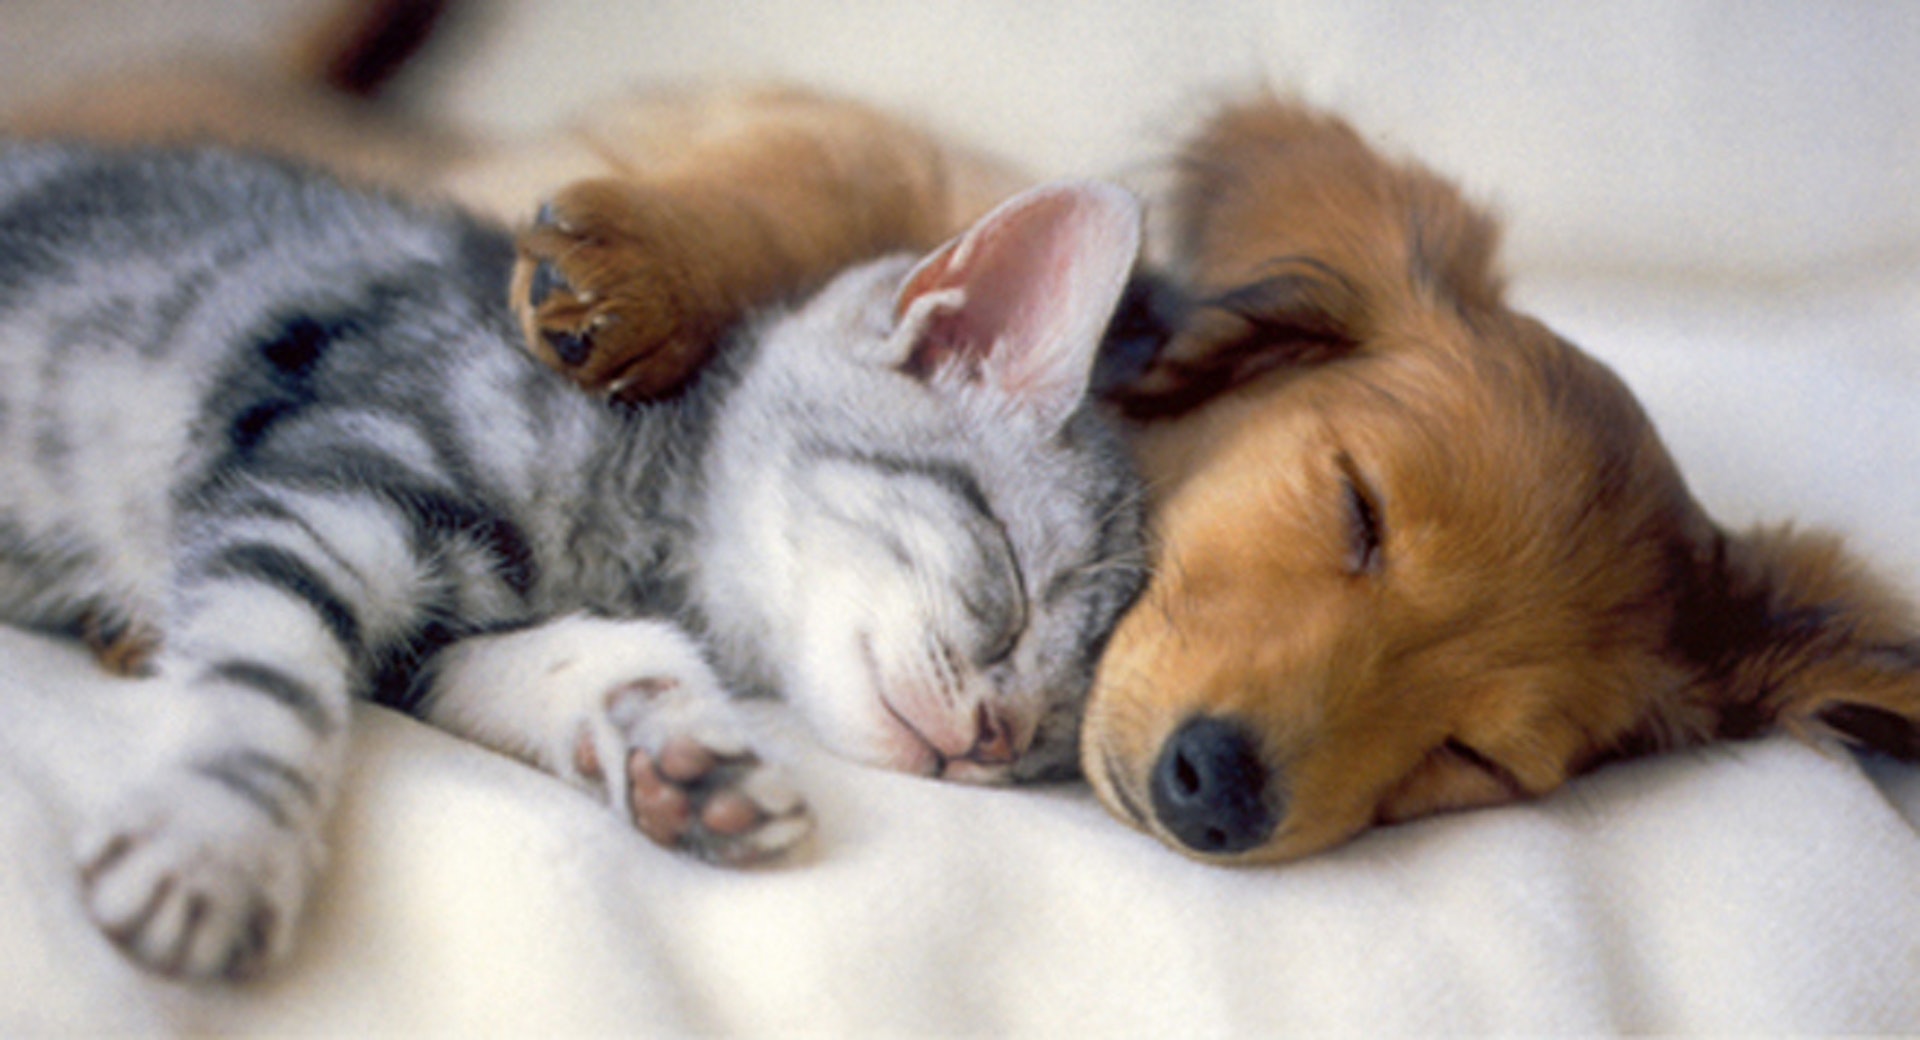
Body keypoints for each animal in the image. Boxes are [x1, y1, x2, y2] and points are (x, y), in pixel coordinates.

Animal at [0, 146, 1136, 990]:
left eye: (1049, 738)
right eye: (1013, 586)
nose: (996, 735)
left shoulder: (430, 632)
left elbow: (576, 657)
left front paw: (676, 748)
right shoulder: (320, 488)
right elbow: (265, 676)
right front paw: (215, 835)